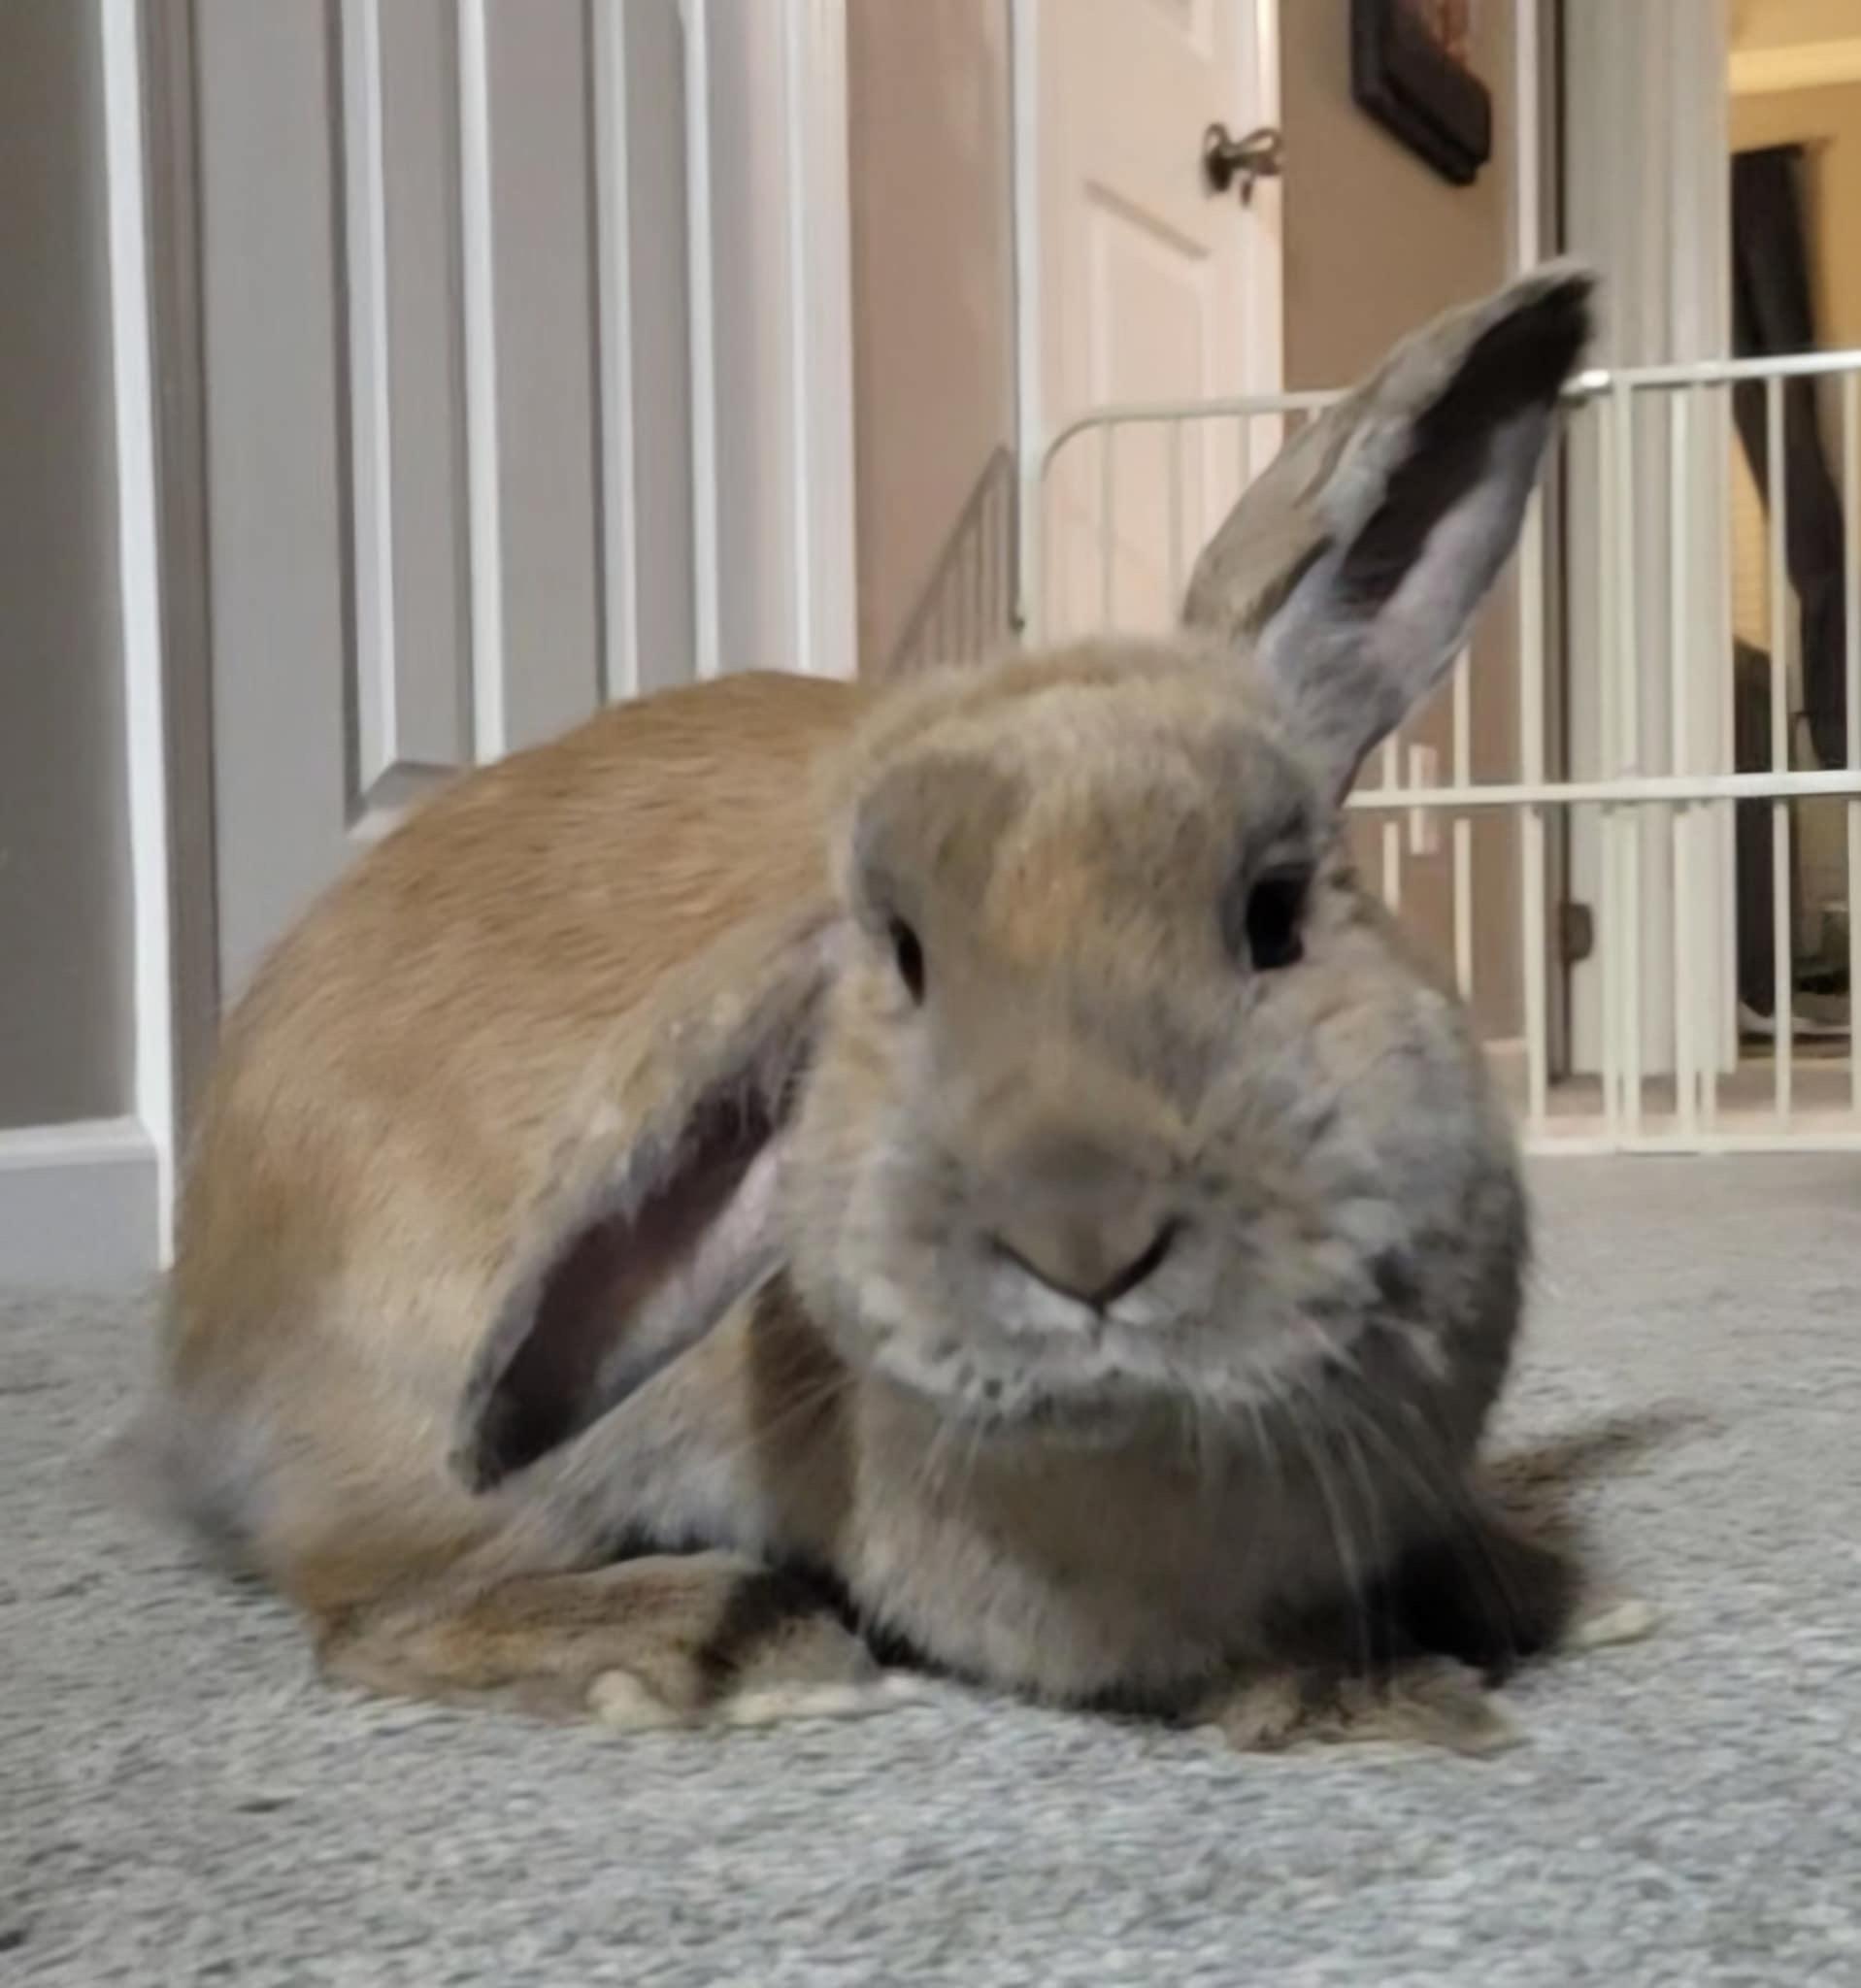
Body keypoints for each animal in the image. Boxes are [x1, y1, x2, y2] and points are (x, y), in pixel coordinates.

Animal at [142, 260, 1652, 1753]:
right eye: (907, 959)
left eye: (1273, 913)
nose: (1083, 1233)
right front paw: (1388, 1694)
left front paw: (1556, 1593)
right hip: (448, 1438)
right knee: (373, 1615)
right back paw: (711, 1649)